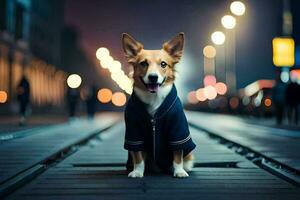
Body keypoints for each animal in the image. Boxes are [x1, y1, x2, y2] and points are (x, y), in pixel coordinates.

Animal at [122, 32, 197, 178]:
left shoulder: (177, 130)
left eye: (163, 64)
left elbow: (177, 154)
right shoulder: (134, 133)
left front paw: (179, 171)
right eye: (143, 63)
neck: (154, 97)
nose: (153, 77)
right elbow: (138, 156)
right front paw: (137, 172)